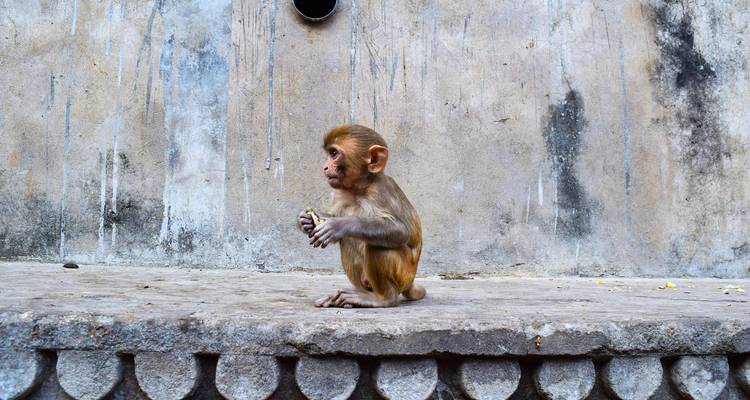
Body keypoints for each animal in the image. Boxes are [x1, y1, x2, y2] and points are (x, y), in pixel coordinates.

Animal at [297, 124, 425, 308]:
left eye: (334, 154)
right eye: (329, 153)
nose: (325, 167)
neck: (359, 189)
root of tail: (411, 282)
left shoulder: (380, 192)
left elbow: (400, 231)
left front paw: (338, 225)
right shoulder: (340, 193)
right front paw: (306, 220)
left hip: (404, 274)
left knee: (378, 246)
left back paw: (383, 299)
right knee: (348, 240)